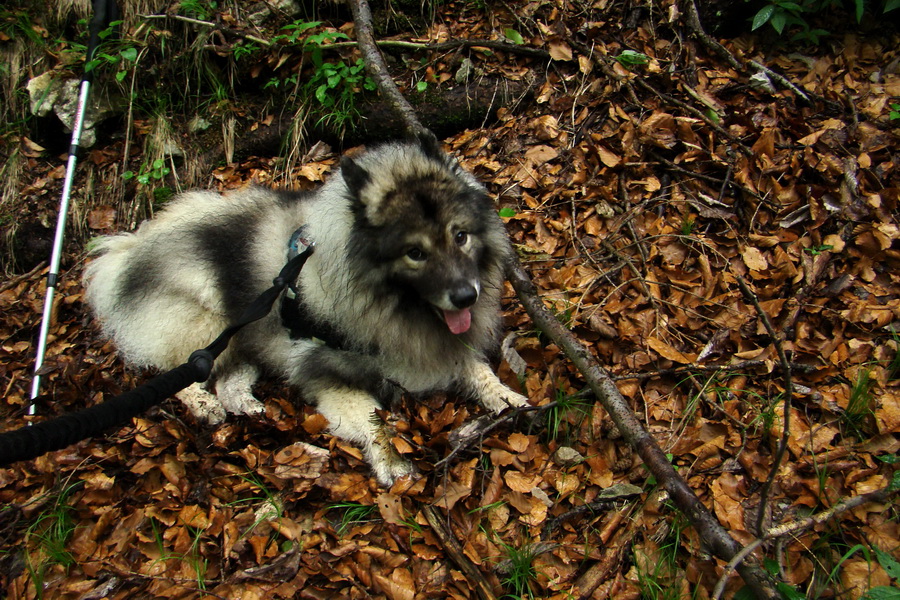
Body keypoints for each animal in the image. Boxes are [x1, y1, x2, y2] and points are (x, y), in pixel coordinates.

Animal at [81, 134, 532, 486]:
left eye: (460, 236)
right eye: (415, 253)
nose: (466, 296)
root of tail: (134, 249)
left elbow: (478, 370)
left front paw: (509, 399)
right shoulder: (327, 371)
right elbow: (375, 420)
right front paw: (392, 462)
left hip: (251, 336)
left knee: (230, 376)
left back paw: (244, 403)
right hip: (209, 322)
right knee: (183, 369)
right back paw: (203, 403)